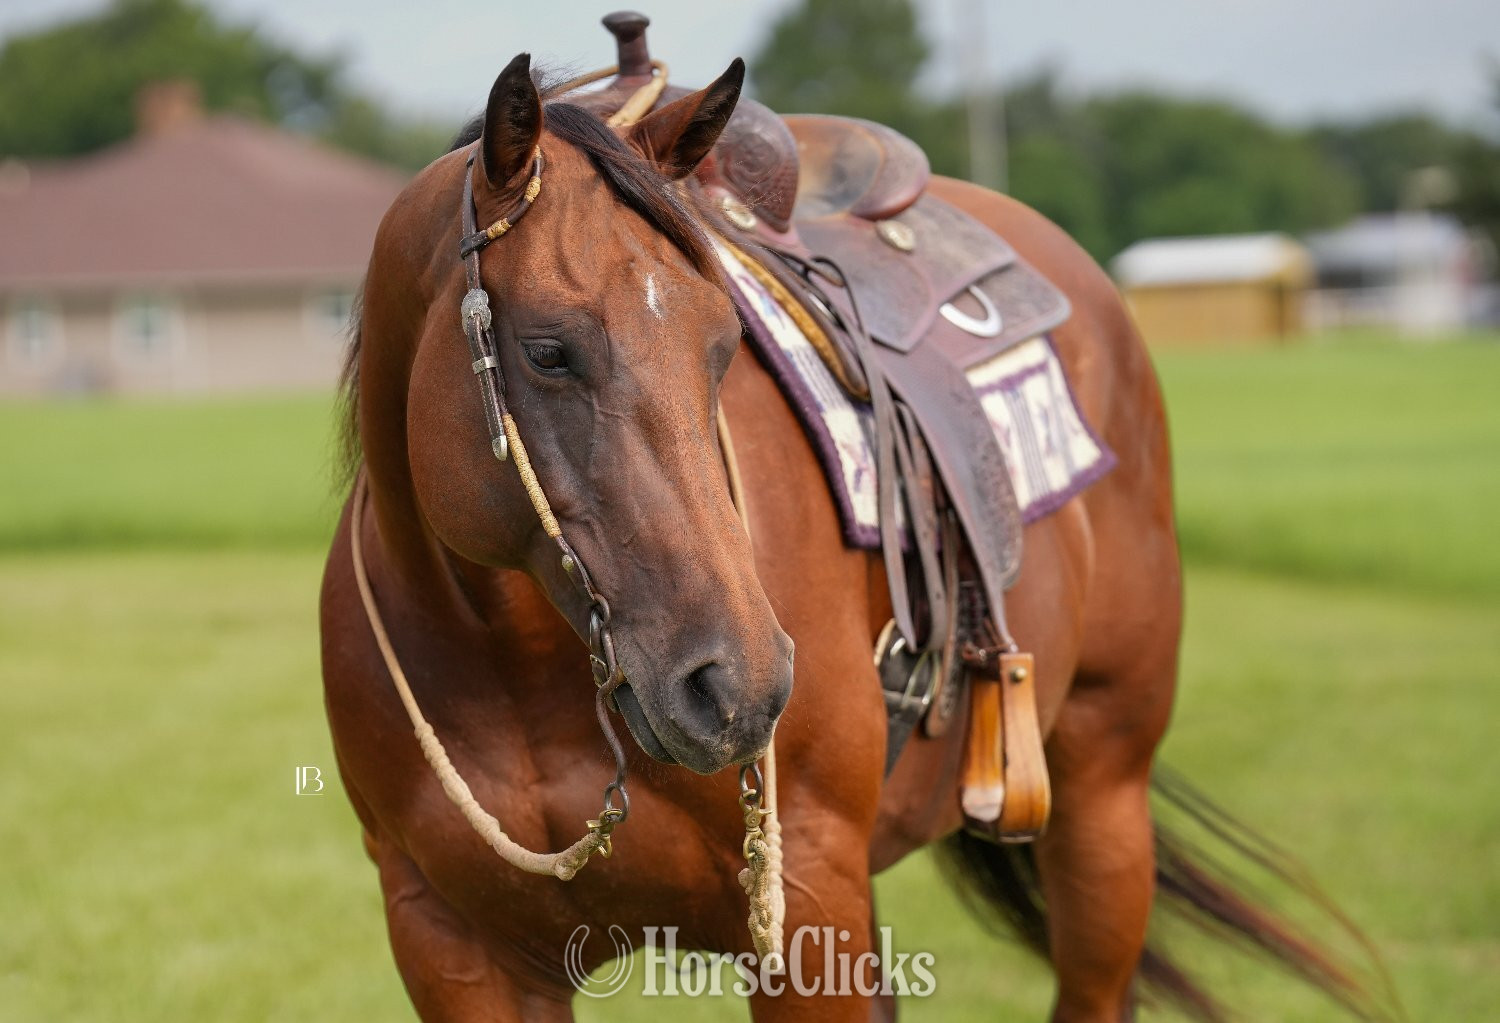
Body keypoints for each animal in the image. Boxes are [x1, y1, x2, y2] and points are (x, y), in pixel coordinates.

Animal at [319, 51, 1388, 1023]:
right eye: (547, 351)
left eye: (723, 345)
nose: (739, 684)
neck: (513, 664)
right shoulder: (454, 945)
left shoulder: (808, 910)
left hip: (1103, 802)